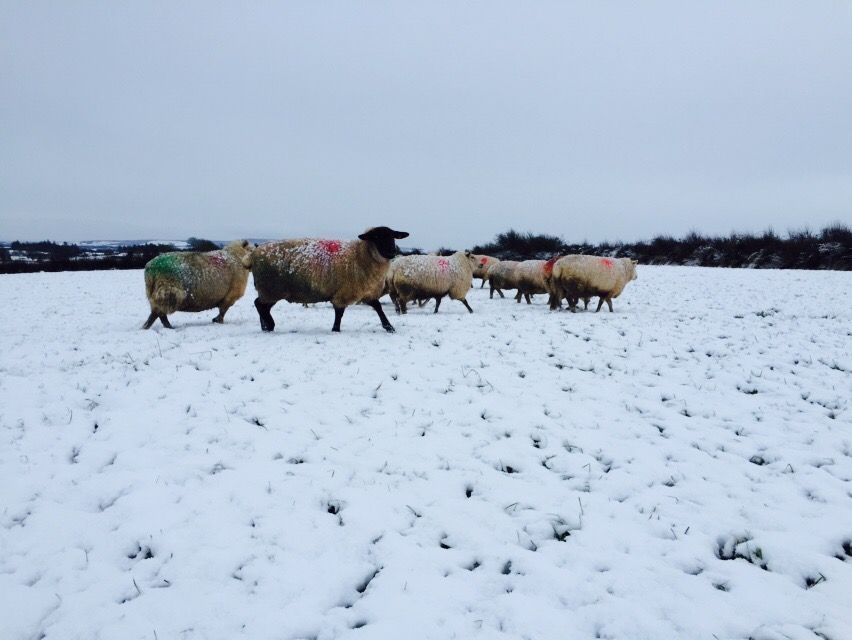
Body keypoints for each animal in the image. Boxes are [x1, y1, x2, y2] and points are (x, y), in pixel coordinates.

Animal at [249, 226, 409, 333]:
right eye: (376, 237)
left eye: (393, 236)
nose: (392, 252)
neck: (359, 255)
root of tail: (253, 254)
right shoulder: (344, 292)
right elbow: (339, 313)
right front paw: (335, 329)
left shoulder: (363, 292)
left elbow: (378, 307)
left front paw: (389, 327)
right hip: (272, 288)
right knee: (259, 305)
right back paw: (270, 325)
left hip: (271, 290)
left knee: (261, 305)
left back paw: (265, 326)